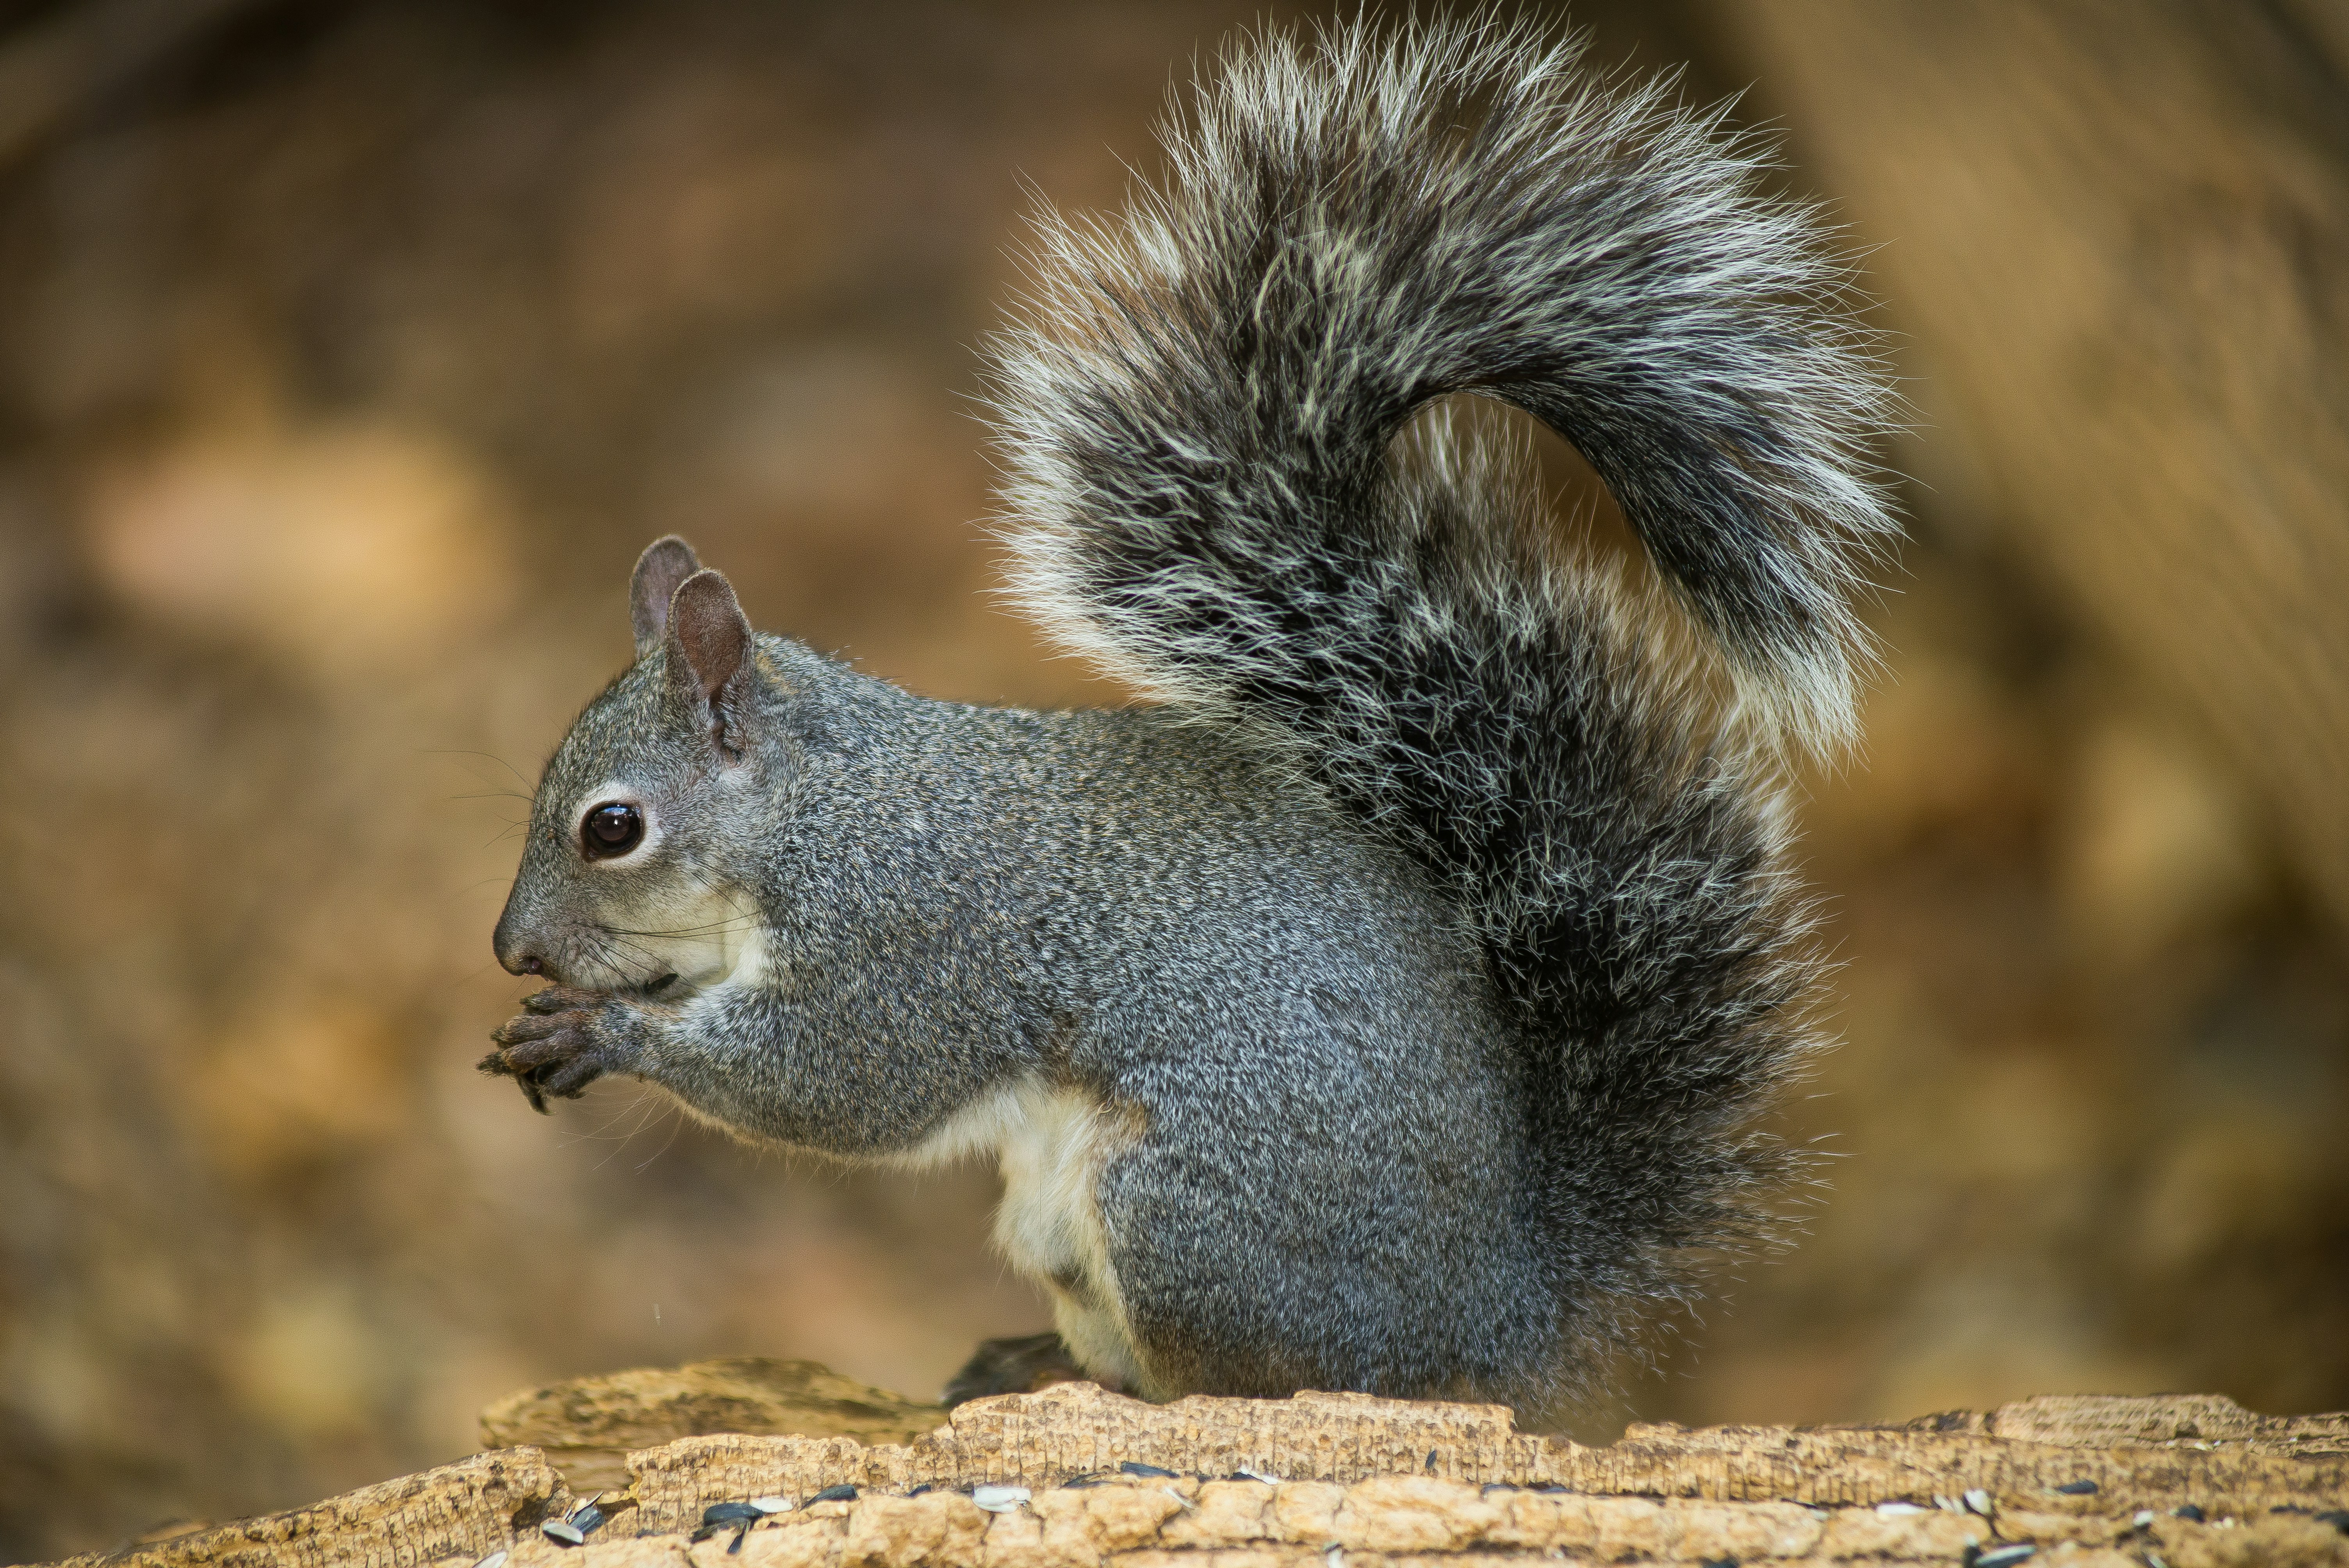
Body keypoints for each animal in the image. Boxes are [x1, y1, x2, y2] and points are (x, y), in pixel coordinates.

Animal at [481, 14, 1896, 1418]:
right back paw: (1034, 1359)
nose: (510, 950)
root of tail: (1493, 1318)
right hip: (1059, 1222)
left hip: (1179, 1214)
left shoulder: (907, 939)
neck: (816, 810)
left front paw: (602, 1030)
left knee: (1255, 1385)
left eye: (612, 827)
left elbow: (844, 1079)